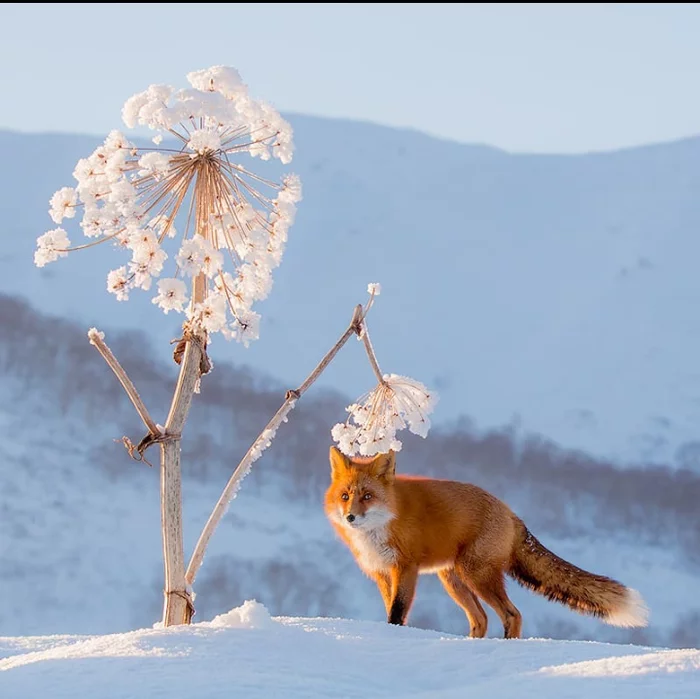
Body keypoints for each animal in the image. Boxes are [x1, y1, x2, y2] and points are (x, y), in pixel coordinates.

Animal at [326, 448, 648, 640]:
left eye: (367, 496)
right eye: (345, 496)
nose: (351, 516)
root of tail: (511, 513)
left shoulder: (406, 568)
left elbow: (397, 611)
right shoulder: (382, 573)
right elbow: (391, 611)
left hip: (475, 574)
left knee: (512, 614)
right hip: (453, 579)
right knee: (480, 619)